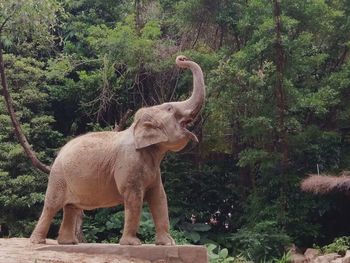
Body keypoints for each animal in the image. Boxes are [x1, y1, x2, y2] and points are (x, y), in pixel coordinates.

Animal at [30, 55, 206, 248]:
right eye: (170, 109)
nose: (181, 58)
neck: (135, 129)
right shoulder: (129, 162)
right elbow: (134, 198)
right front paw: (133, 244)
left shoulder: (153, 170)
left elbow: (160, 197)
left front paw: (168, 244)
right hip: (58, 177)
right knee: (51, 205)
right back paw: (38, 242)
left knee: (71, 207)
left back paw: (69, 243)